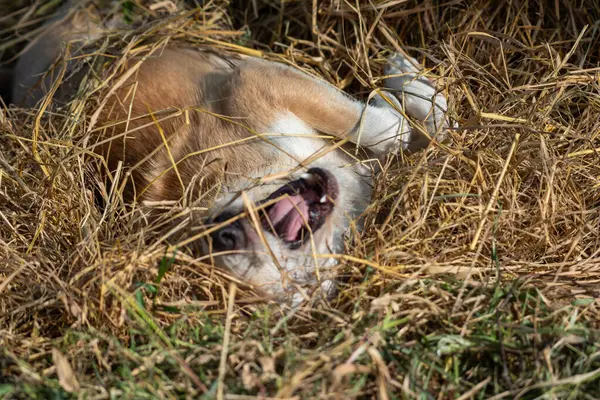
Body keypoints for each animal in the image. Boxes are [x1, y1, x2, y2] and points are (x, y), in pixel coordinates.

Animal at [11, 2, 454, 304]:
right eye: (296, 284)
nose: (225, 234)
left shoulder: (258, 81)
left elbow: (386, 124)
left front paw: (404, 79)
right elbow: (415, 131)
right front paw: (408, 99)